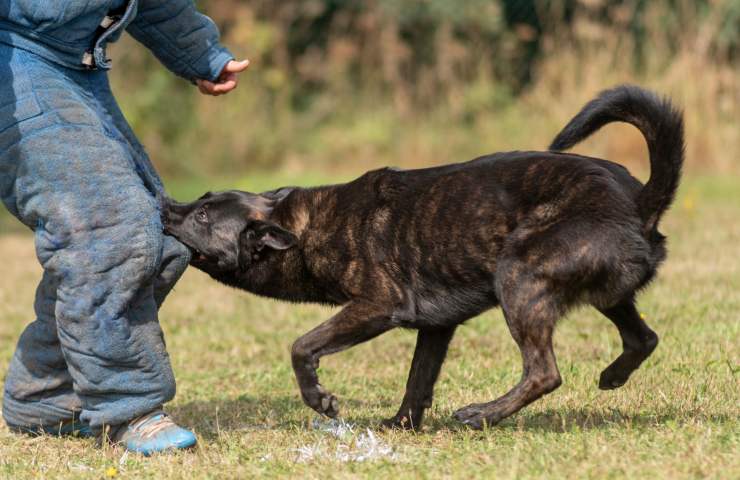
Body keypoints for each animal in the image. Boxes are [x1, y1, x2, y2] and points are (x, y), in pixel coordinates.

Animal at [165, 86, 684, 432]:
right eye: (201, 200)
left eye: (204, 215)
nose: (165, 207)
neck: (304, 225)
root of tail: (638, 200)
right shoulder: (437, 326)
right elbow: (418, 380)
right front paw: (400, 427)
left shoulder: (377, 306)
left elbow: (301, 347)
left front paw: (321, 400)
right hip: (603, 294)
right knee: (644, 338)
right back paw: (612, 375)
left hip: (519, 278)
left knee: (544, 372)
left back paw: (481, 414)